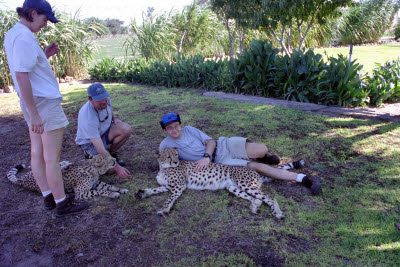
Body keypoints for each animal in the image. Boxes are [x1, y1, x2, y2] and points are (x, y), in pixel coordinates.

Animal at [136, 149, 302, 220]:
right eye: (169, 156)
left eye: (176, 155)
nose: (176, 161)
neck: (164, 167)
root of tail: (253, 170)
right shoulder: (168, 186)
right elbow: (155, 189)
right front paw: (143, 192)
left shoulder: (178, 186)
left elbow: (169, 198)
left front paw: (164, 209)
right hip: (233, 187)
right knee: (257, 199)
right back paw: (254, 208)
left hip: (246, 184)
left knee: (270, 198)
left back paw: (278, 213)